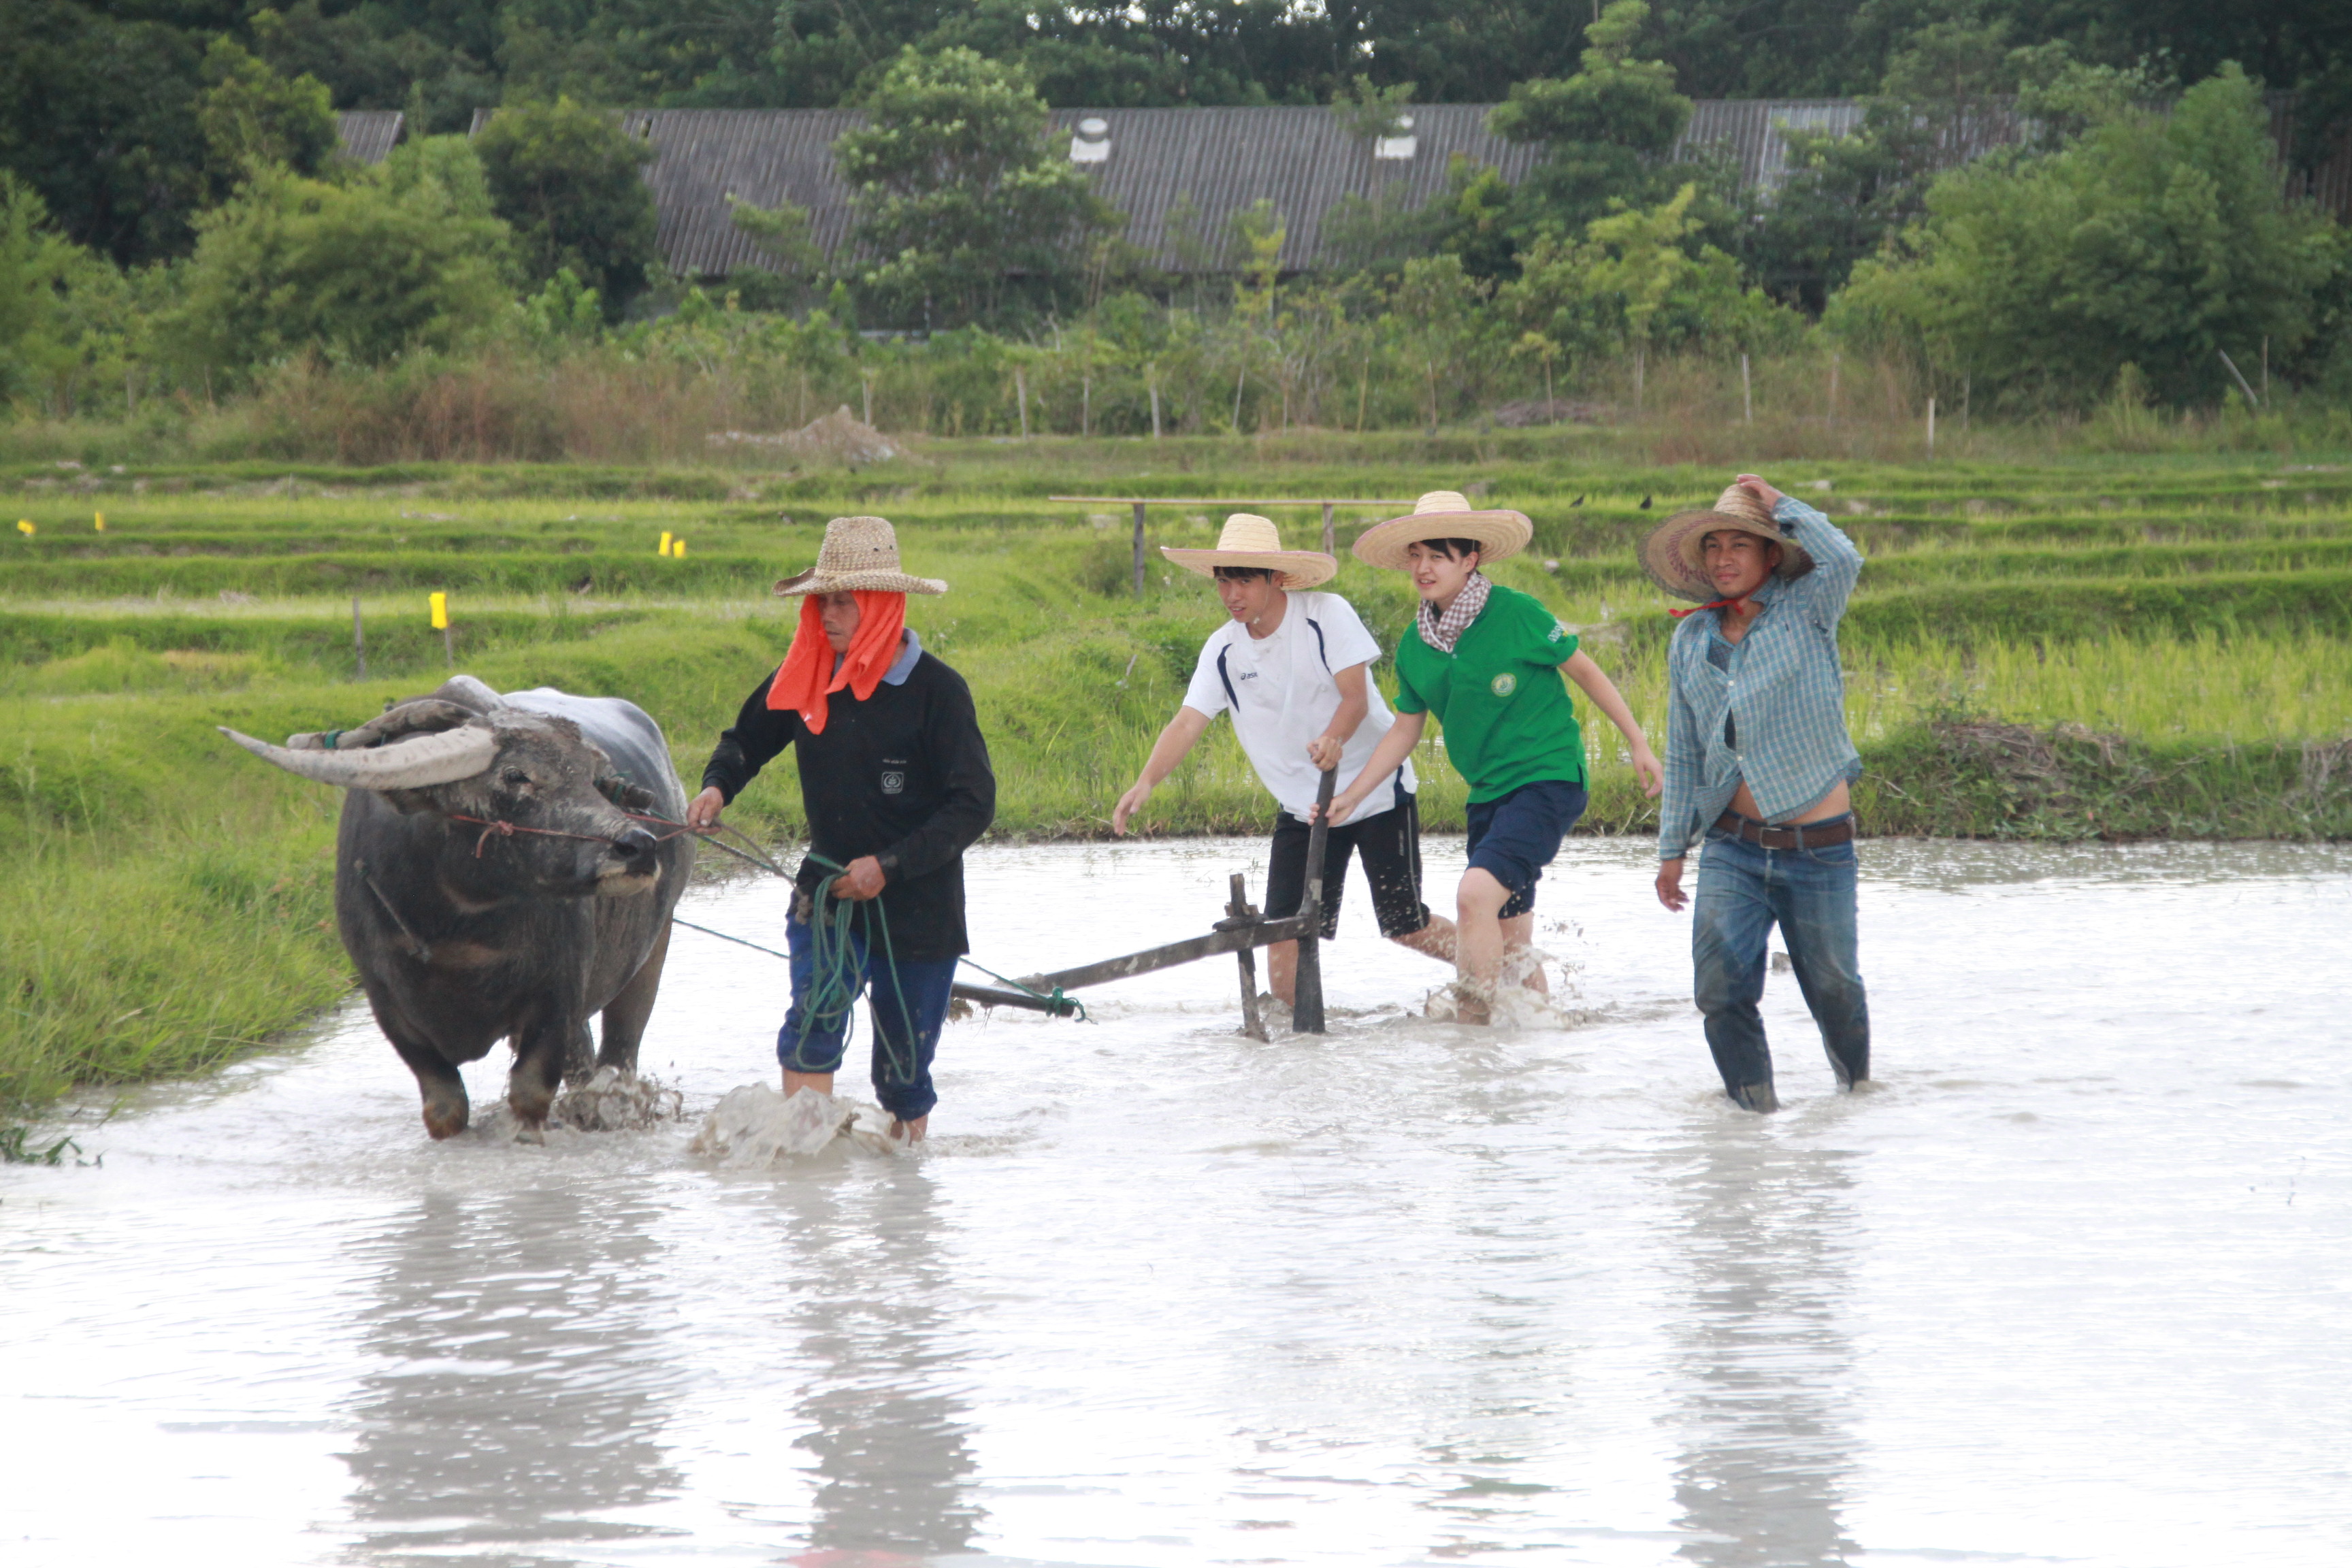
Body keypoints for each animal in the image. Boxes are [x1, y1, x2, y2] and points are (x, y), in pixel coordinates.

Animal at [222, 676, 694, 1141]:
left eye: (593, 777)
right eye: (515, 775)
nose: (638, 846)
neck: (458, 926)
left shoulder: (556, 997)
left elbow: (530, 1097)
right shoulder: (389, 1006)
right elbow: (445, 1108)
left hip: (653, 952)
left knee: (618, 1054)